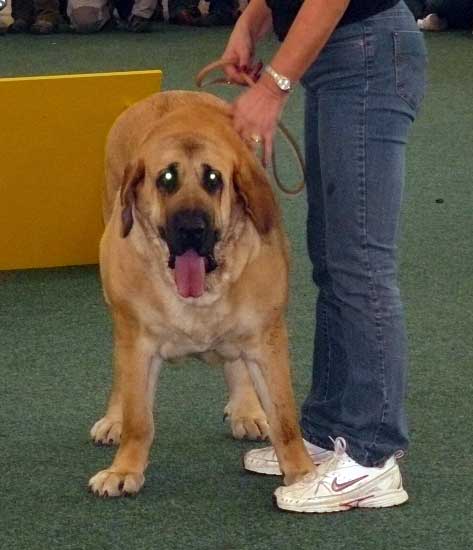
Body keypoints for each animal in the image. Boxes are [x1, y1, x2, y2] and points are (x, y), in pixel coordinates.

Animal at [87, 91, 314, 500]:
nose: (192, 227)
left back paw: (246, 409)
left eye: (213, 179)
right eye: (166, 179)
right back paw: (113, 419)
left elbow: (286, 418)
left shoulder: (267, 340)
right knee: (120, 375)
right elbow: (139, 418)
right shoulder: (138, 342)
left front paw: (303, 474)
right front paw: (124, 469)